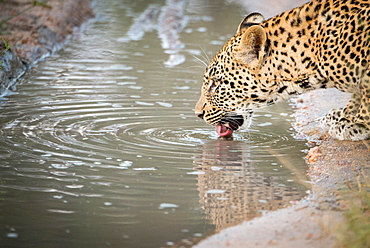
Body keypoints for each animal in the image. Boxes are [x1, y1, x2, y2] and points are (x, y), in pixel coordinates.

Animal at [195, 0, 368, 140]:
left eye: (215, 84)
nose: (198, 114)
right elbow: (358, 95)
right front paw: (343, 115)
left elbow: (365, 95)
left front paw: (357, 125)